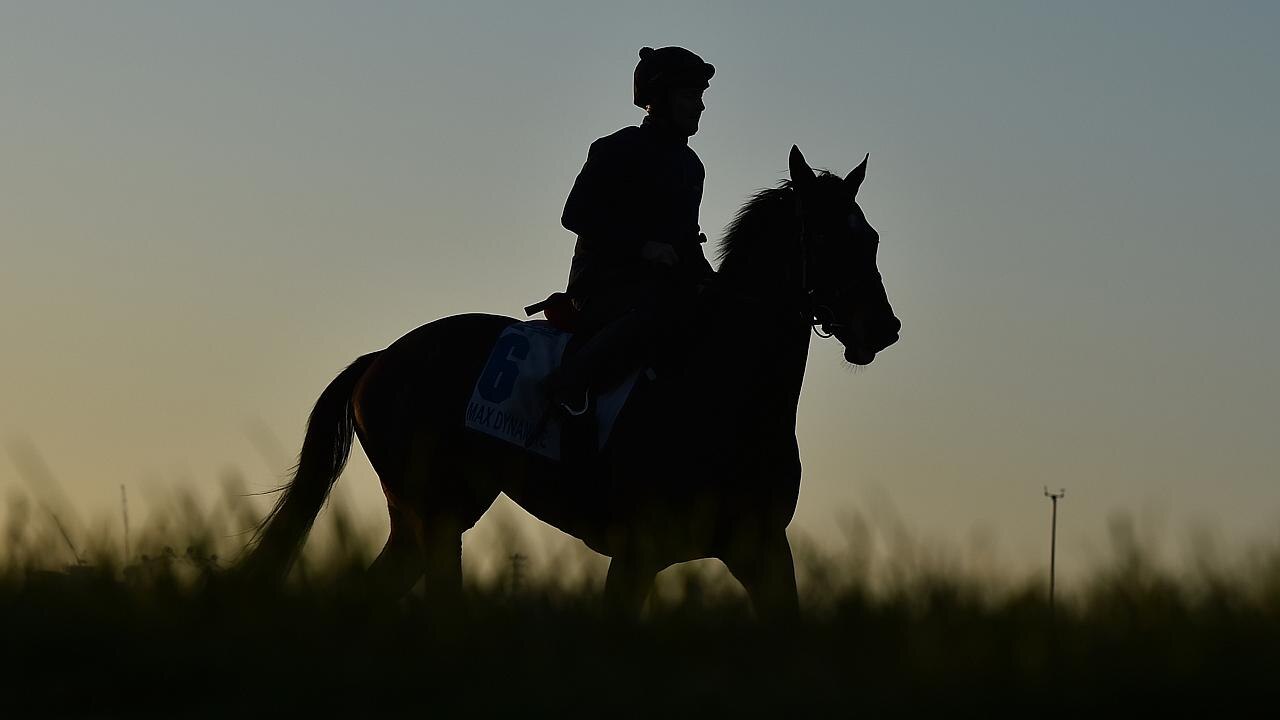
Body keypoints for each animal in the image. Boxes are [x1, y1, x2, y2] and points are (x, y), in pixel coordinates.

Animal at [240, 144, 901, 617]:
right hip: (435, 514)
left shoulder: (762, 549)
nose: (882, 327)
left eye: (869, 237)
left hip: (426, 519)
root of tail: (382, 358)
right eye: (823, 236)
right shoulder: (636, 553)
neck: (727, 393)